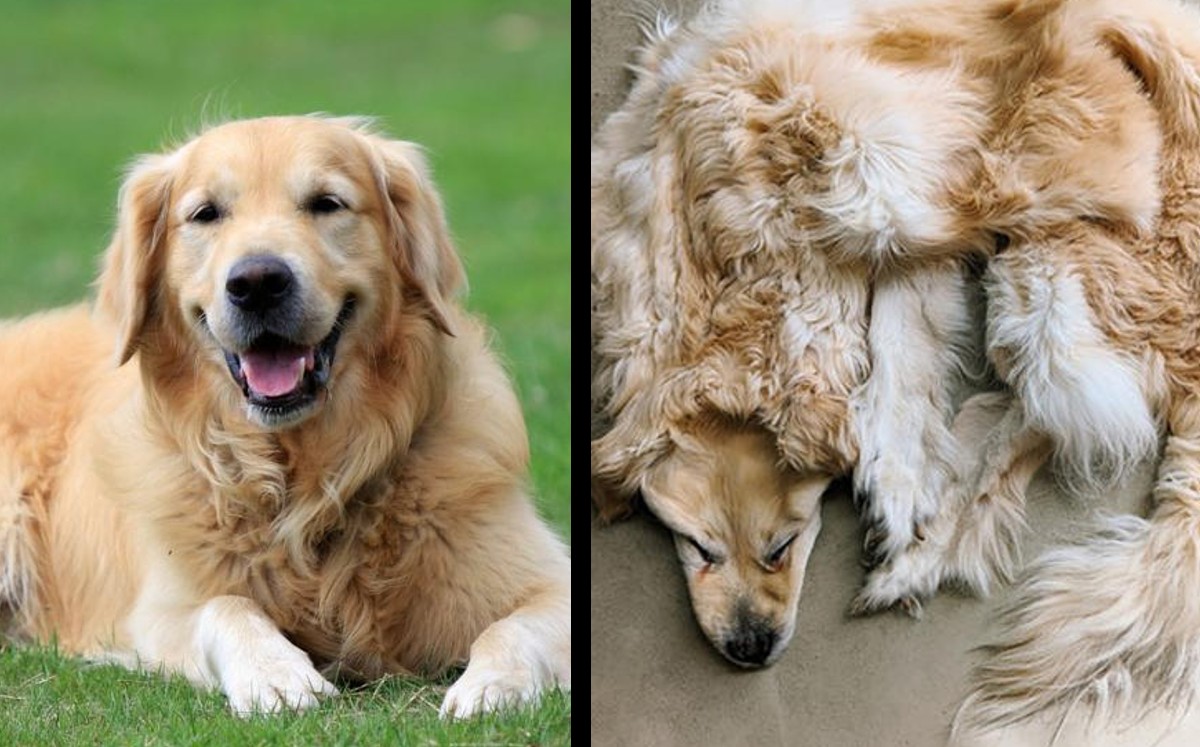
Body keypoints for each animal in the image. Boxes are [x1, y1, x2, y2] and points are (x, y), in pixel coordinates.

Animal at [0, 117, 571, 720]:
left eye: (326, 203)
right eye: (206, 213)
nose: (256, 282)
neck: (309, 479)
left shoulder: (542, 576)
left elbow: (511, 629)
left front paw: (494, 686)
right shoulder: (161, 611)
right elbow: (226, 606)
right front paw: (274, 674)